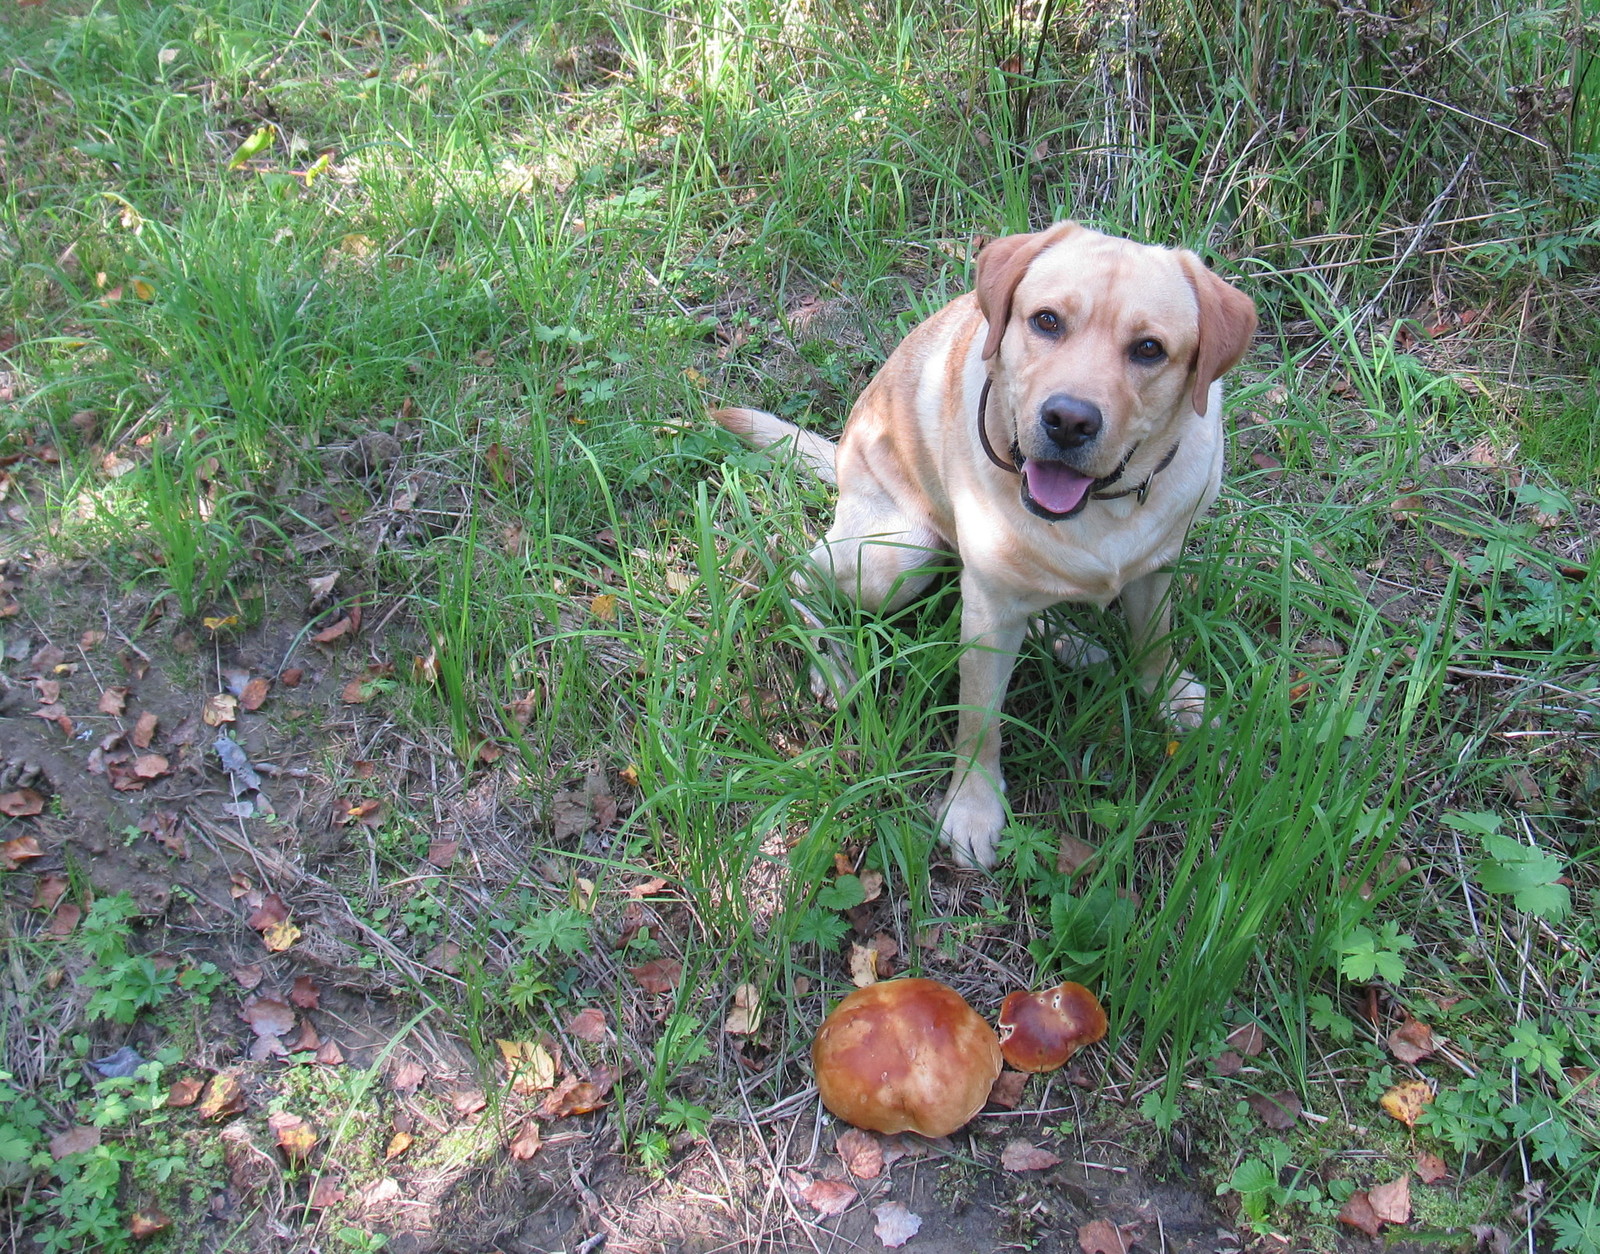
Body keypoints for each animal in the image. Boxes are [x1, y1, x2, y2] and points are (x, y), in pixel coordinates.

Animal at [720, 222, 1254, 870]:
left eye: (1149, 349)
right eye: (1046, 321)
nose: (1069, 420)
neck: (1101, 508)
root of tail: (844, 447)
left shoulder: (1159, 565)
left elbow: (1155, 640)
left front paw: (1172, 697)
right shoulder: (988, 615)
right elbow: (979, 720)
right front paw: (971, 808)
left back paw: (1072, 644)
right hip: (899, 557)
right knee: (792, 566)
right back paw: (830, 661)